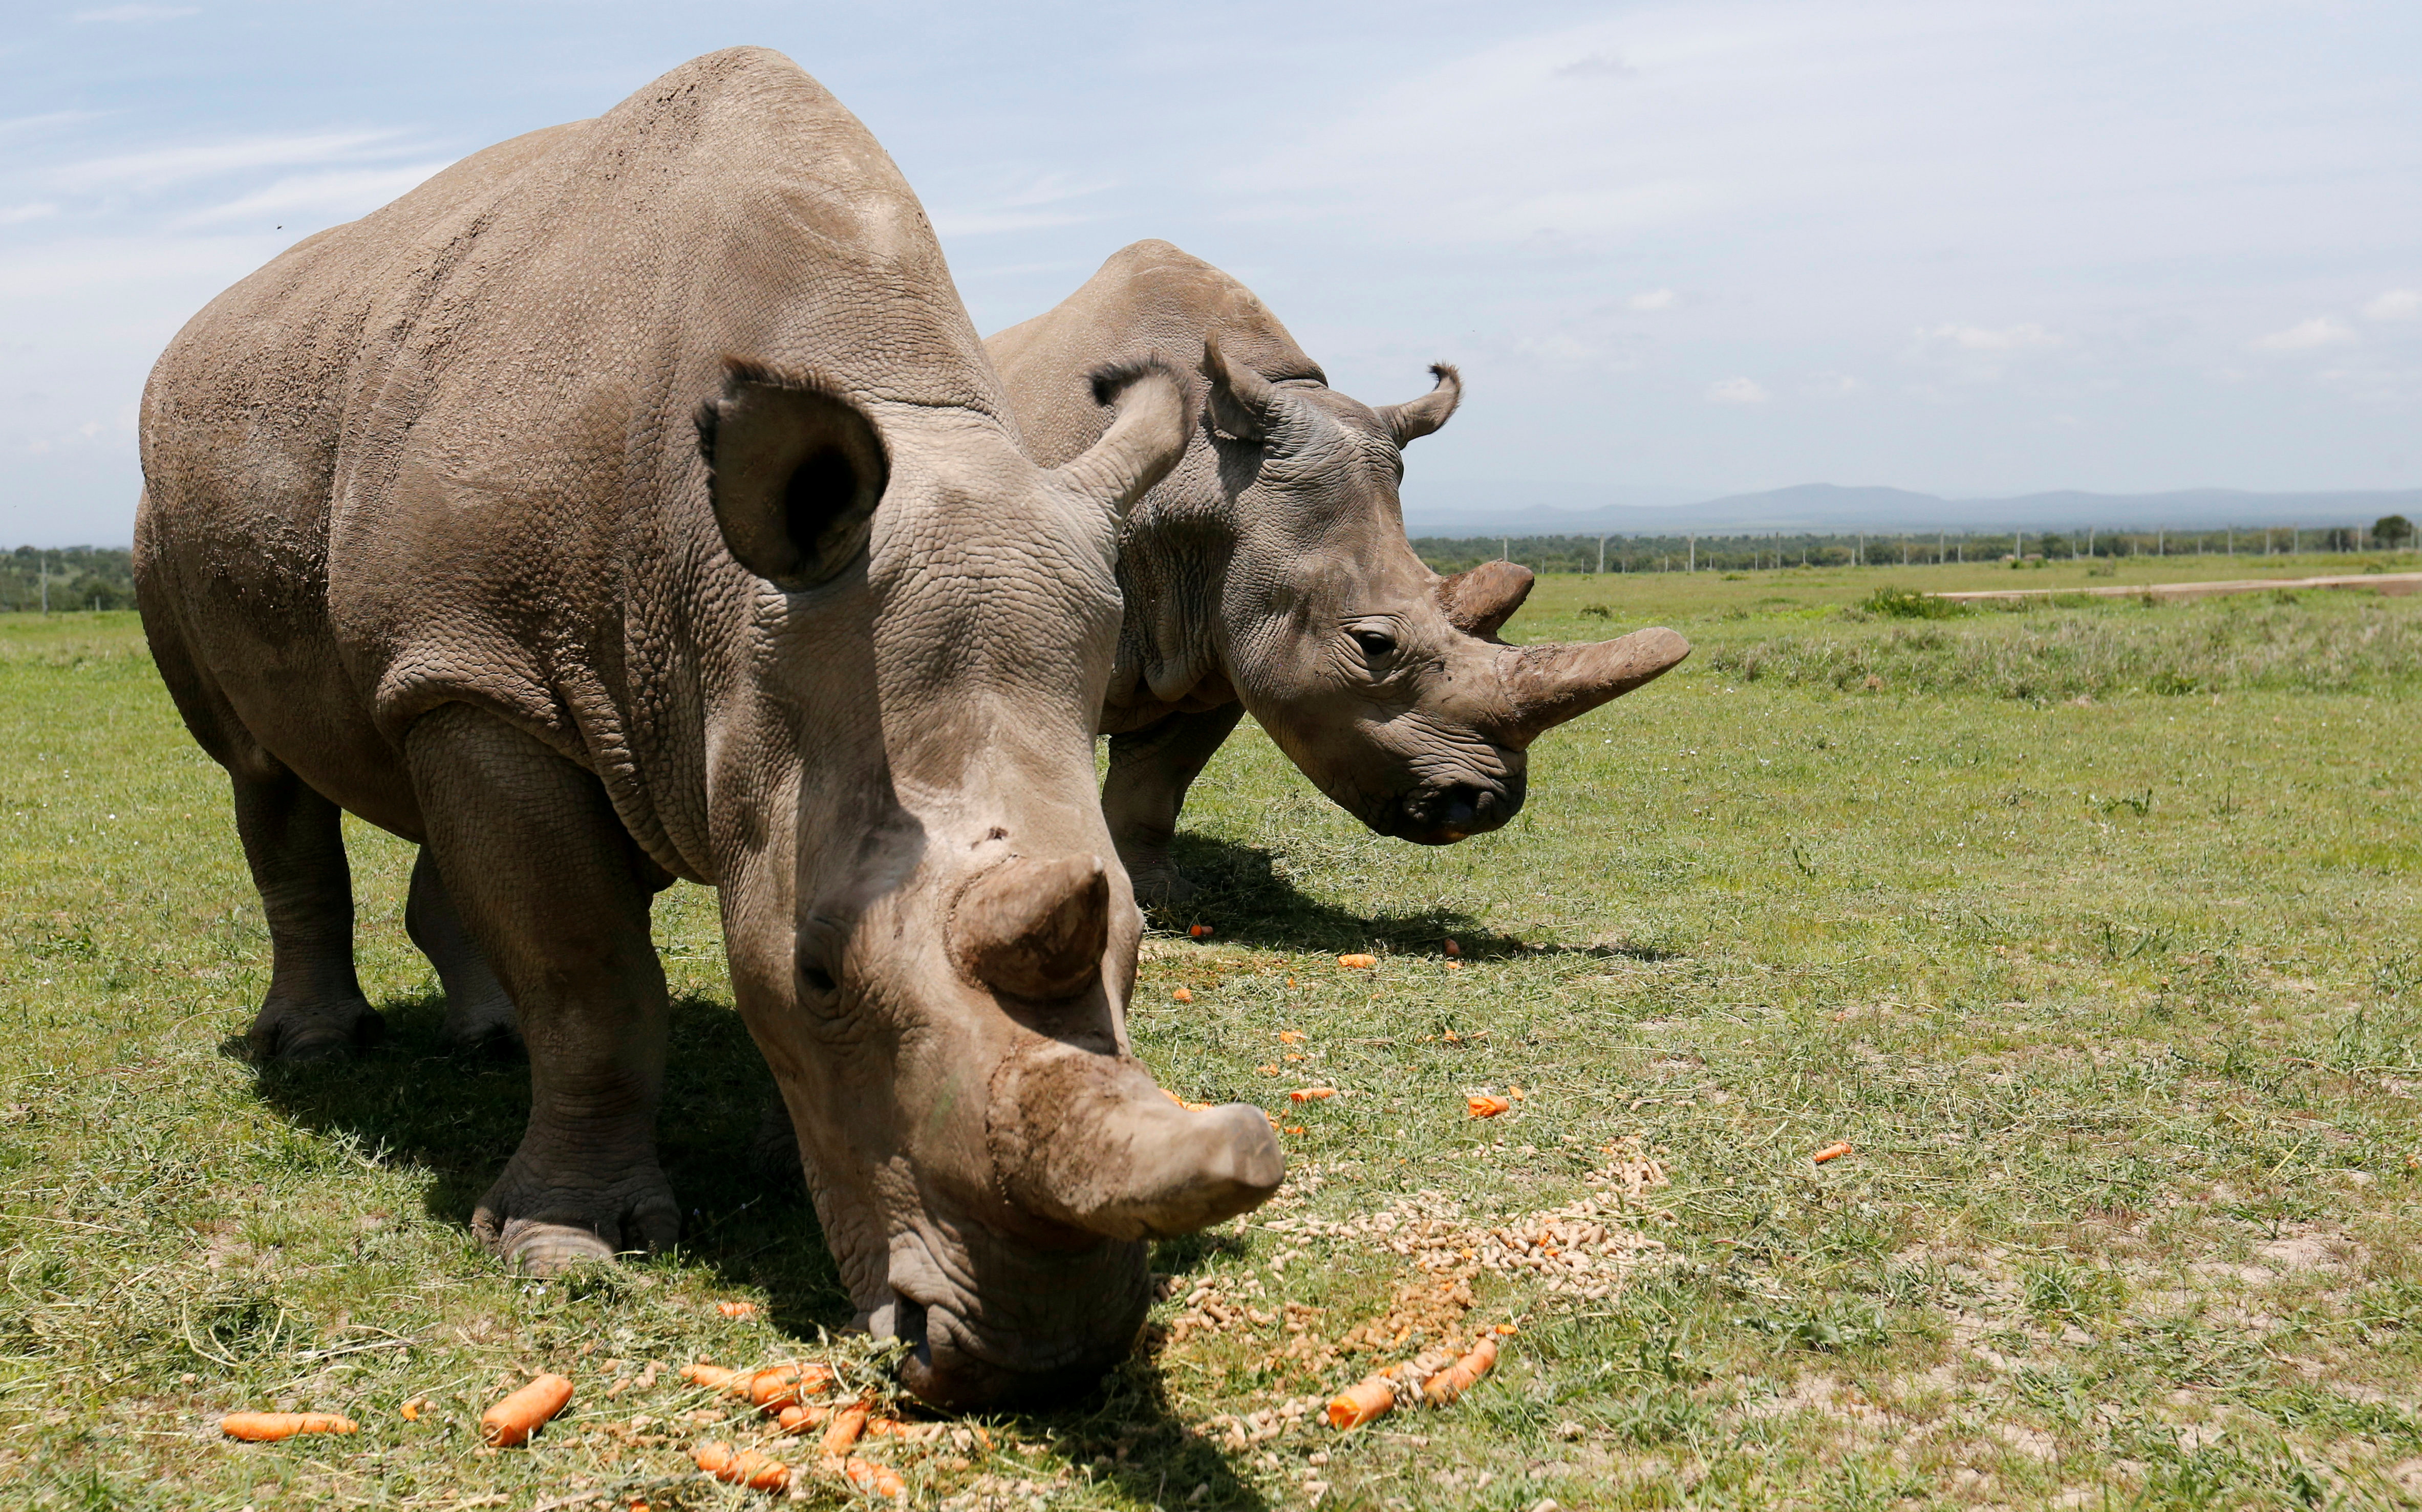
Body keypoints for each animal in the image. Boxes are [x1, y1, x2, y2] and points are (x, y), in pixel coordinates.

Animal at [133, 50, 1280, 1408]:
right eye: (818, 972)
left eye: (1141, 936)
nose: (1034, 1364)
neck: (724, 601)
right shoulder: (487, 666)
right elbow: (589, 972)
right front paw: (562, 1249)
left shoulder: (538, 668)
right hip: (208, 525)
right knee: (261, 768)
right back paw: (317, 1052)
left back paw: (486, 1040)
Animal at [985, 242, 1691, 900]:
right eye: (1373, 644)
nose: (1484, 804)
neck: (1205, 481)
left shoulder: (1225, 638)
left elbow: (1157, 785)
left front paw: (1163, 898)